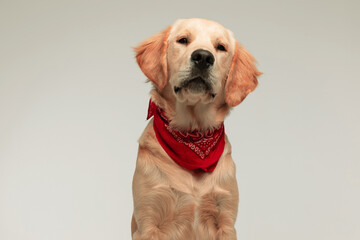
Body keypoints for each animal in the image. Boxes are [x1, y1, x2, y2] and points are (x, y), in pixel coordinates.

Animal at [131, 17, 260, 239]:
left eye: (221, 47)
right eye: (183, 40)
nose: (203, 57)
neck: (193, 134)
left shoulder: (225, 219)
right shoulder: (148, 220)